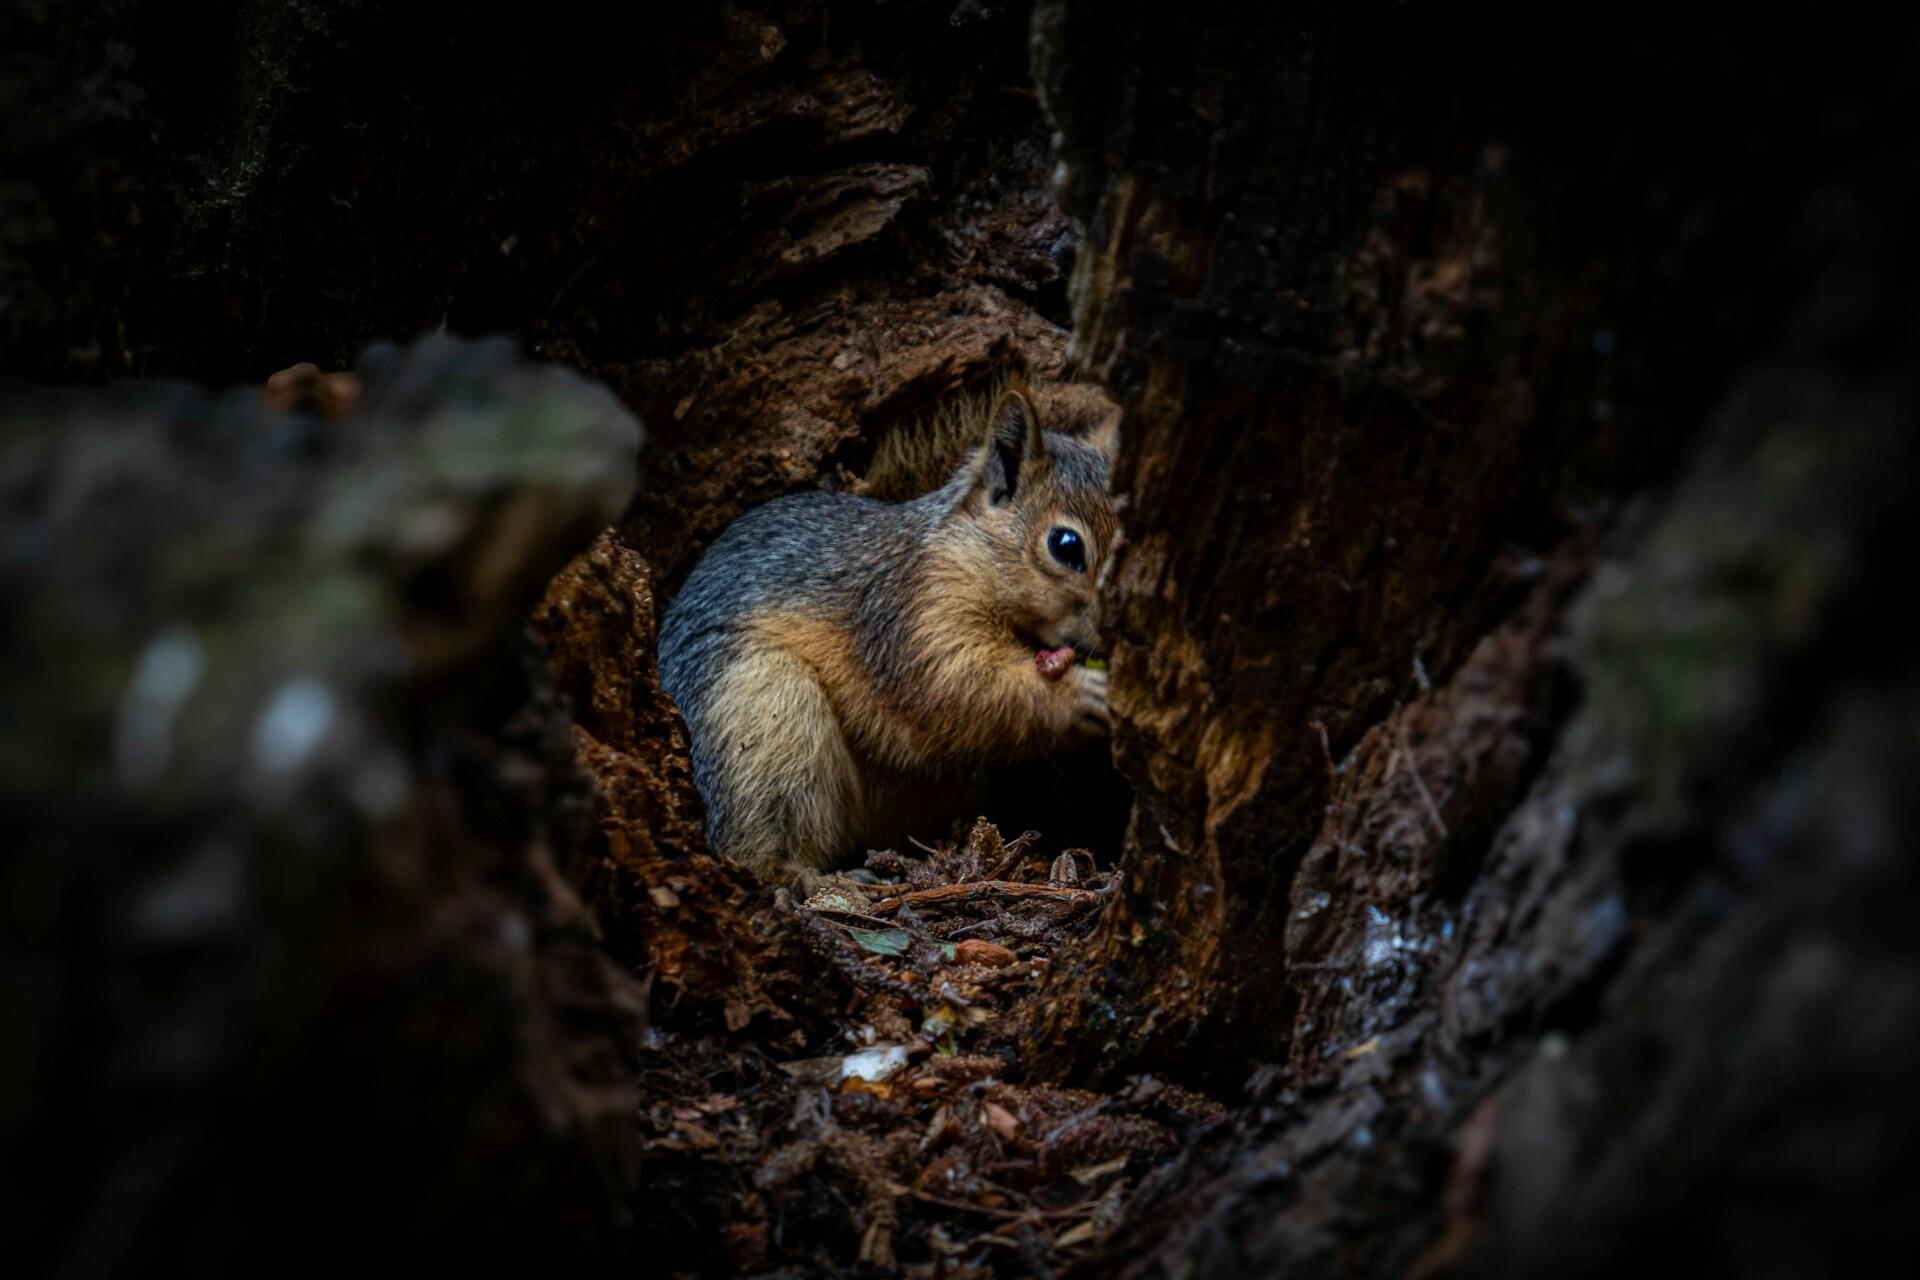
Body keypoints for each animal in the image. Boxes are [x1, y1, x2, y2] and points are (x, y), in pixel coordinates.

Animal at [658, 380, 1119, 883]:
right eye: (1065, 545)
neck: (968, 552)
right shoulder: (910, 610)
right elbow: (955, 687)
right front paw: (1078, 694)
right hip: (760, 714)